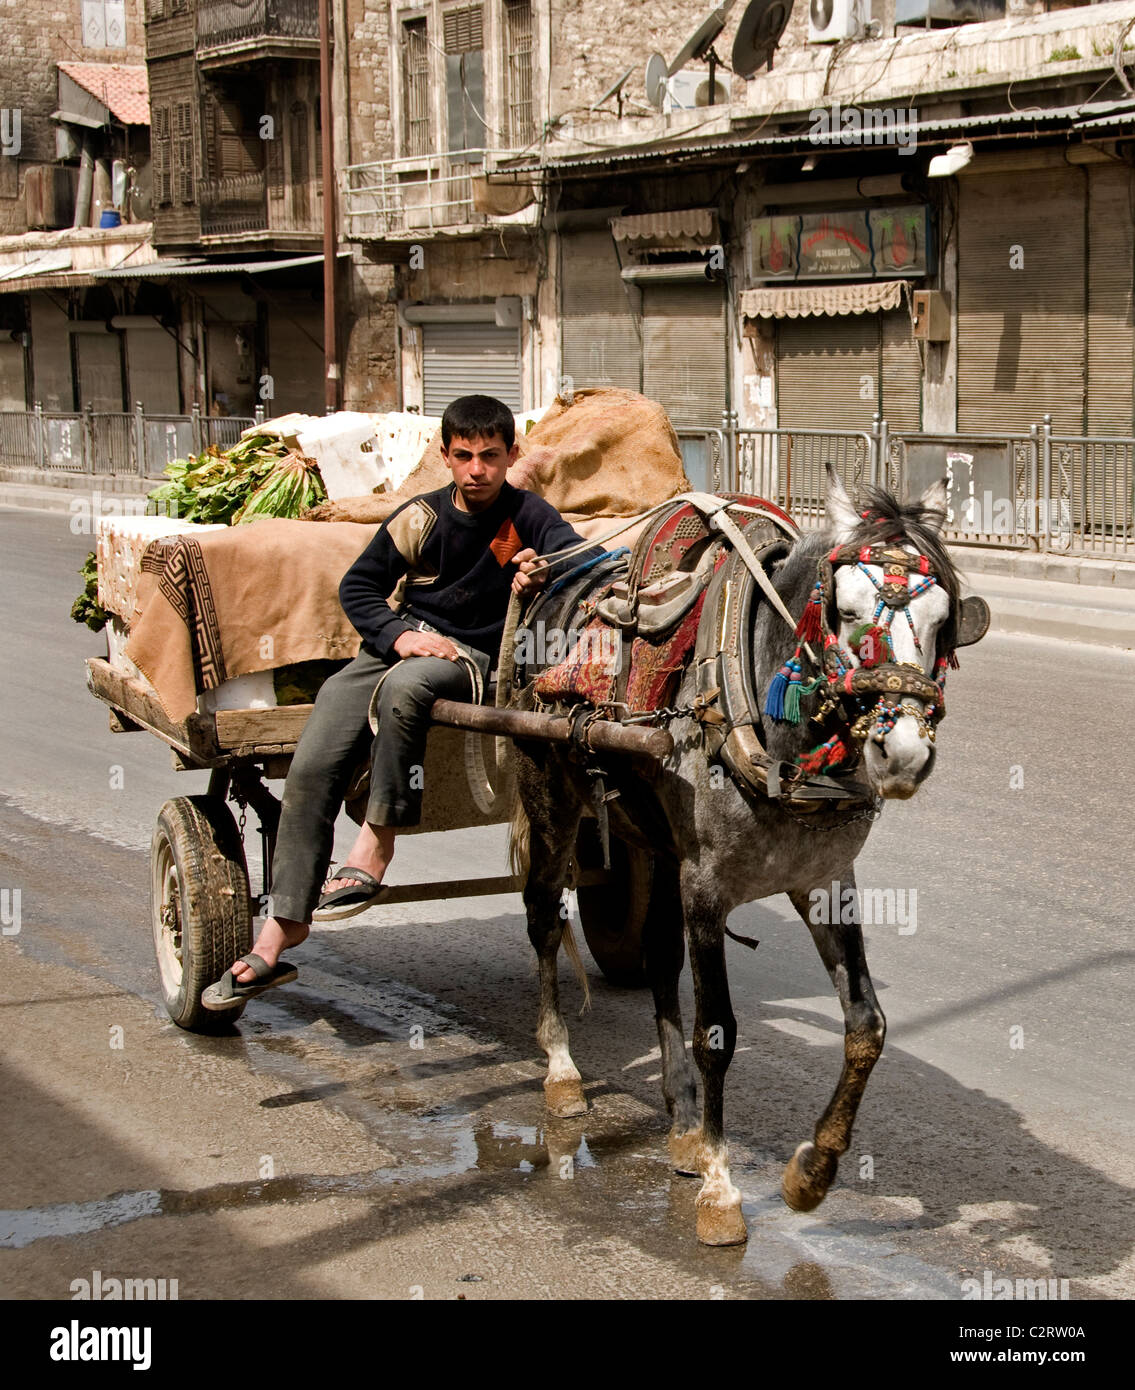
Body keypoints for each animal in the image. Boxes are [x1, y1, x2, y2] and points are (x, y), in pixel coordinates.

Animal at [505, 467, 983, 1251]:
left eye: (945, 620)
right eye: (844, 611)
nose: (903, 752)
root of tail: (551, 577)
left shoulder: (823, 881)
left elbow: (867, 1026)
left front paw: (811, 1172)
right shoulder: (707, 887)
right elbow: (718, 1033)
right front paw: (722, 1192)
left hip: (652, 841)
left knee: (656, 958)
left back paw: (681, 1125)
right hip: (550, 795)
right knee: (544, 920)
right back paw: (563, 1072)